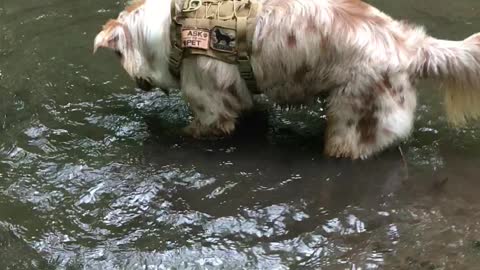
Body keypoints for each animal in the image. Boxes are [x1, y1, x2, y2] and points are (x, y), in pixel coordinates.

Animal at [93, 0, 480, 159]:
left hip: (350, 124)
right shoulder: (241, 97)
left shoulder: (211, 110)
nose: (137, 83)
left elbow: (192, 131)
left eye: (118, 55)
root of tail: (411, 45)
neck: (175, 29)